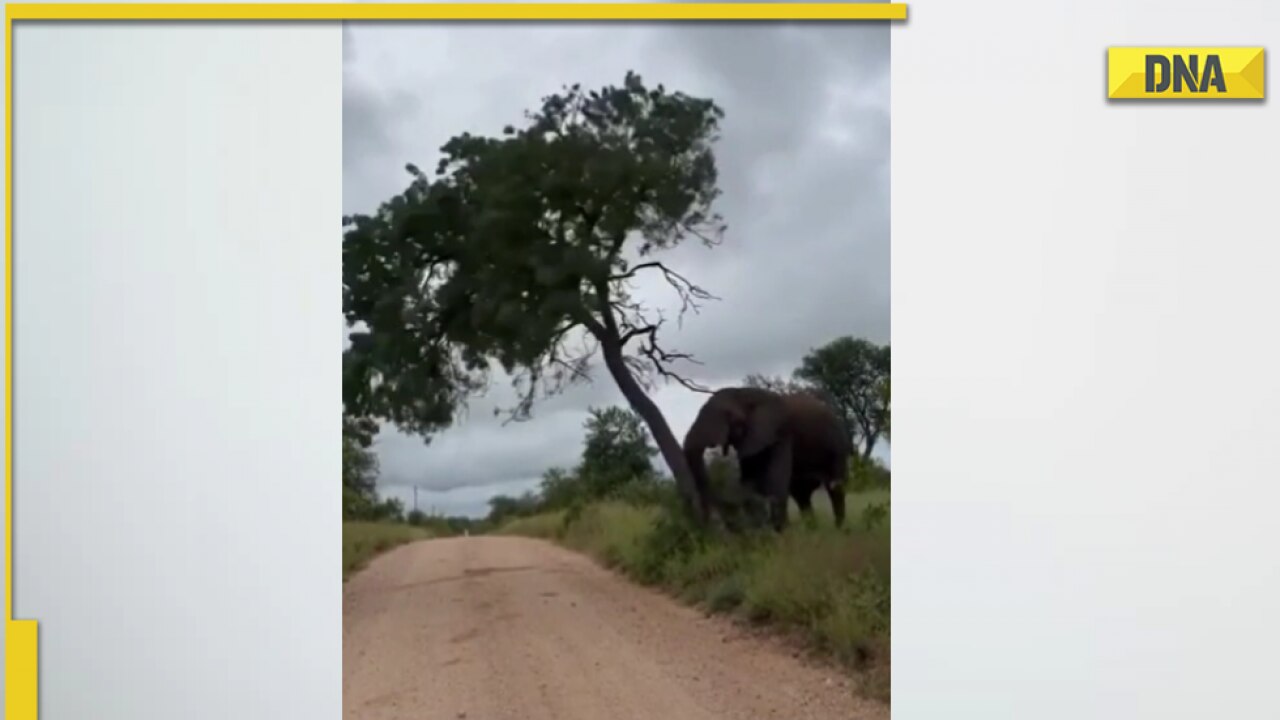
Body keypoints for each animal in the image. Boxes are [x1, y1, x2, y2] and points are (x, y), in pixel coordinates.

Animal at [682, 386, 851, 532]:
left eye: (729, 415)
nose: (708, 523)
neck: (745, 392)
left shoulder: (781, 433)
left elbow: (775, 482)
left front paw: (781, 535)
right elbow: (748, 482)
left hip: (837, 445)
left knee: (835, 487)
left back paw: (839, 530)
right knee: (801, 494)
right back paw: (813, 532)